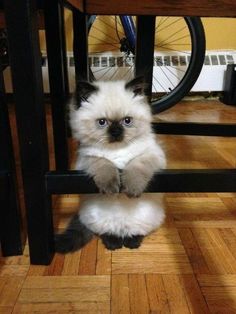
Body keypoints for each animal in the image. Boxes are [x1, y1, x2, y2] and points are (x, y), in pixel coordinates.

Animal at [55, 77, 166, 251]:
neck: (116, 150)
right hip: (95, 218)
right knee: (107, 232)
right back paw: (114, 243)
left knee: (136, 231)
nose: (116, 132)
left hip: (148, 218)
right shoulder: (87, 158)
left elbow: (135, 166)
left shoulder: (152, 154)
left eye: (127, 121)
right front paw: (111, 188)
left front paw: (131, 189)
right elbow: (104, 163)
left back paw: (132, 242)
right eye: (102, 122)